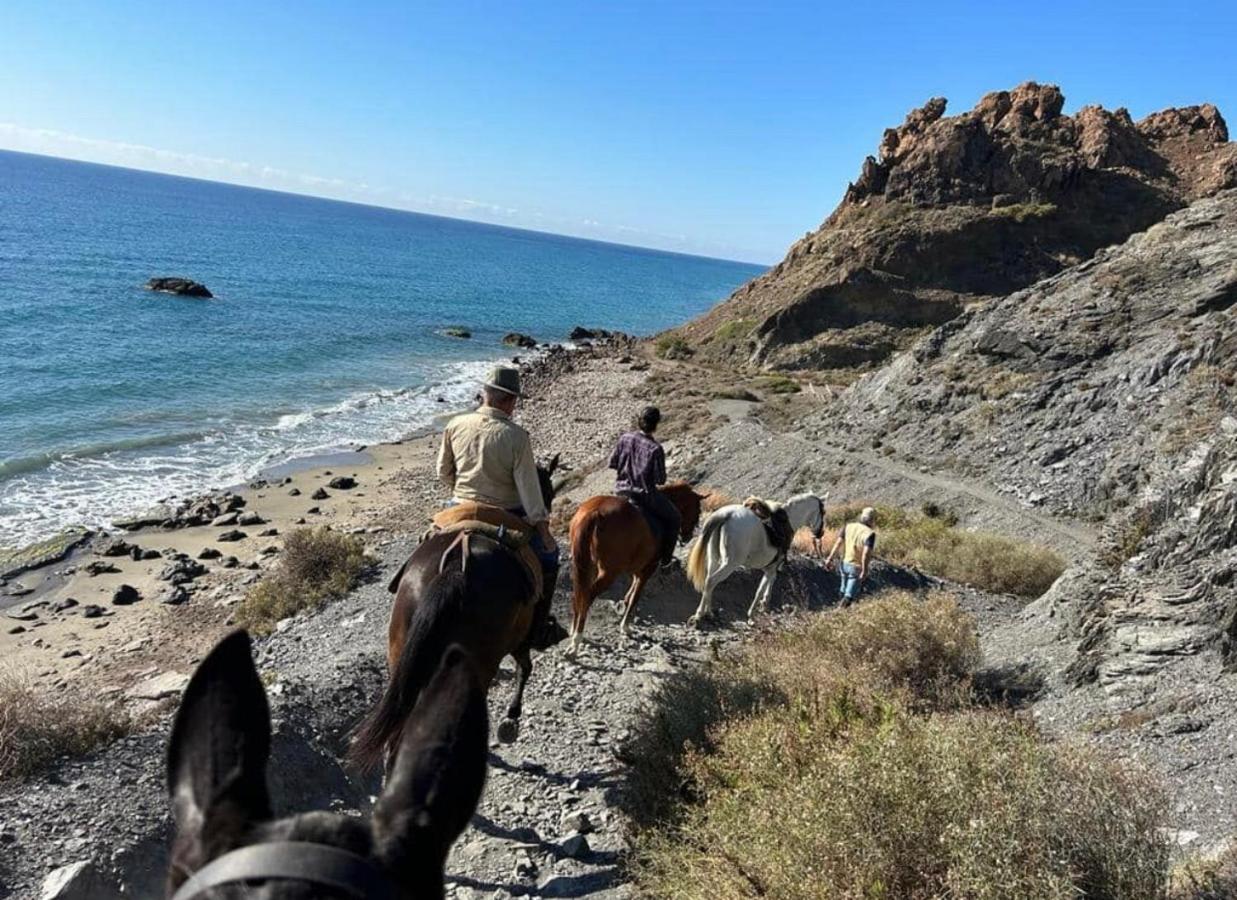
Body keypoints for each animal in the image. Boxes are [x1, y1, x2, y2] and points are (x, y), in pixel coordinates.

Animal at [346, 459, 564, 771]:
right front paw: (510, 721)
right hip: (480, 662)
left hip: (401, 651)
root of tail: (455, 565)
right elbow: (525, 668)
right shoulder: (520, 640)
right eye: (547, 491)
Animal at [687, 492, 821, 625]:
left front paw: (764, 605)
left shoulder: (771, 568)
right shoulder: (771, 568)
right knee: (711, 581)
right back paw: (699, 615)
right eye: (822, 512)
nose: (820, 534)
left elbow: (769, 583)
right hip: (730, 564)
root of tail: (726, 514)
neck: (789, 520)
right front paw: (752, 613)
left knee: (708, 581)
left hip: (713, 558)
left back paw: (708, 613)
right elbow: (760, 589)